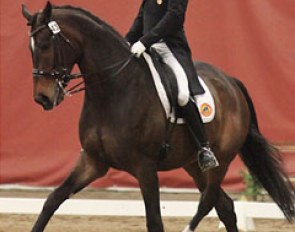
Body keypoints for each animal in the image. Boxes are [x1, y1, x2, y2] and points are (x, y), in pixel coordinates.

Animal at [21, 2, 295, 232]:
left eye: (45, 45)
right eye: (31, 49)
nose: (42, 98)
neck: (113, 90)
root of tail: (231, 81)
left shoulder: (145, 167)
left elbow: (154, 221)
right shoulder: (92, 161)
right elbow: (52, 200)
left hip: (222, 159)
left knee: (207, 201)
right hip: (193, 164)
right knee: (224, 206)